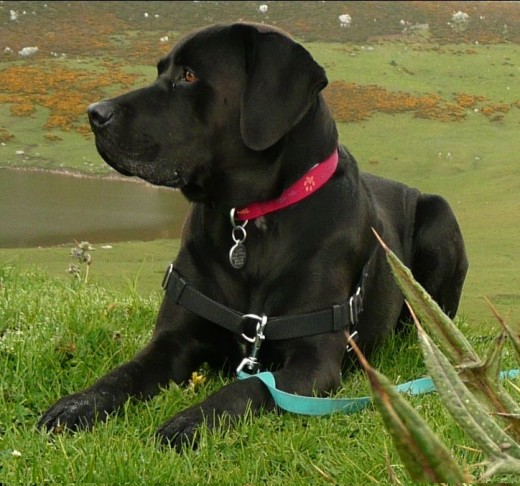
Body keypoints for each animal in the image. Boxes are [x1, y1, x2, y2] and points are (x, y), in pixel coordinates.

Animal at [36, 21, 468, 448]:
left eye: (189, 75)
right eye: (161, 70)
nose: (95, 112)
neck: (249, 222)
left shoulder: (313, 361)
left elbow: (250, 386)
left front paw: (191, 421)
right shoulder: (172, 340)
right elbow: (125, 373)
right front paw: (76, 405)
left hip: (441, 216)